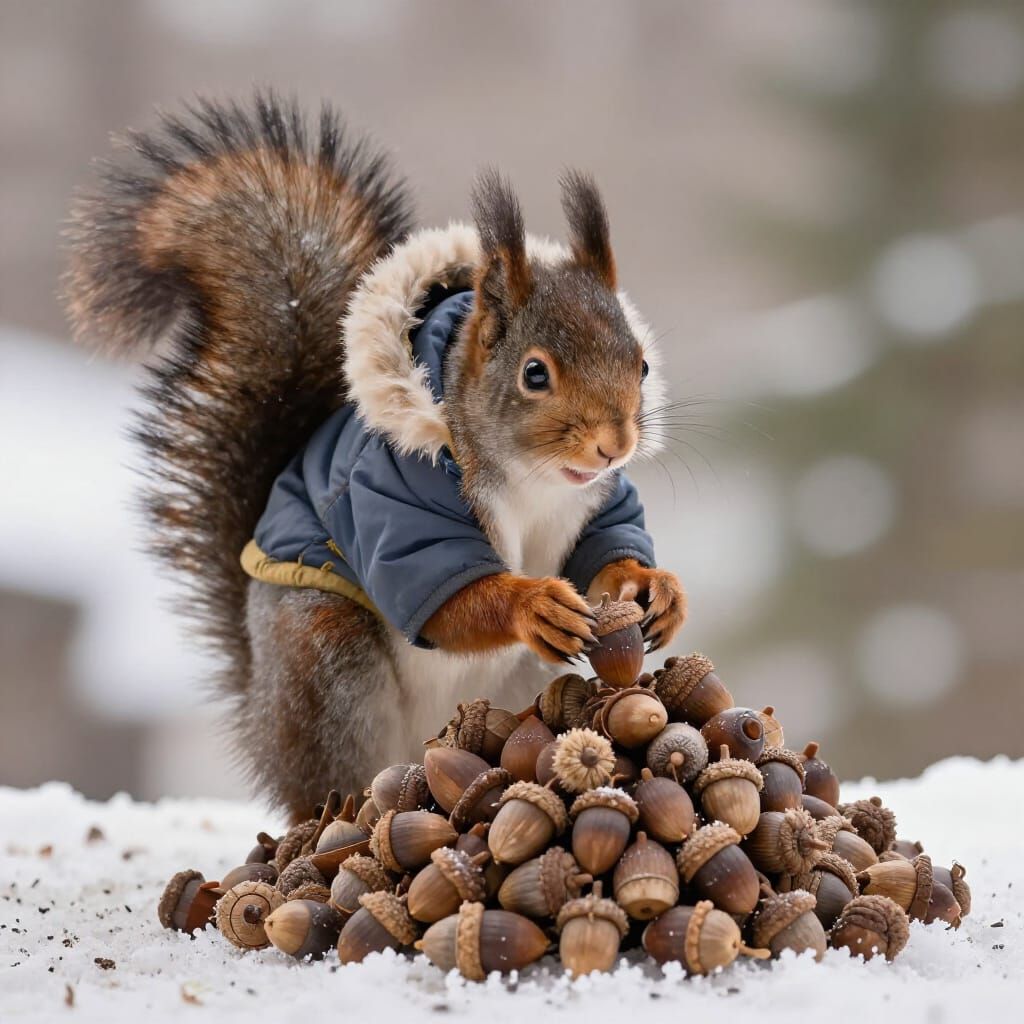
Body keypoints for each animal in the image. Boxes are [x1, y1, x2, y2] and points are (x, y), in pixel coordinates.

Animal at [64, 93, 687, 822]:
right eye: (535, 374)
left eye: (642, 365)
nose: (615, 444)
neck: (534, 484)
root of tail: (258, 715)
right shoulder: (395, 502)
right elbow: (444, 600)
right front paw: (532, 604)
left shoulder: (598, 502)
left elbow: (605, 554)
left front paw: (654, 586)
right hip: (324, 660)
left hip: (521, 675)